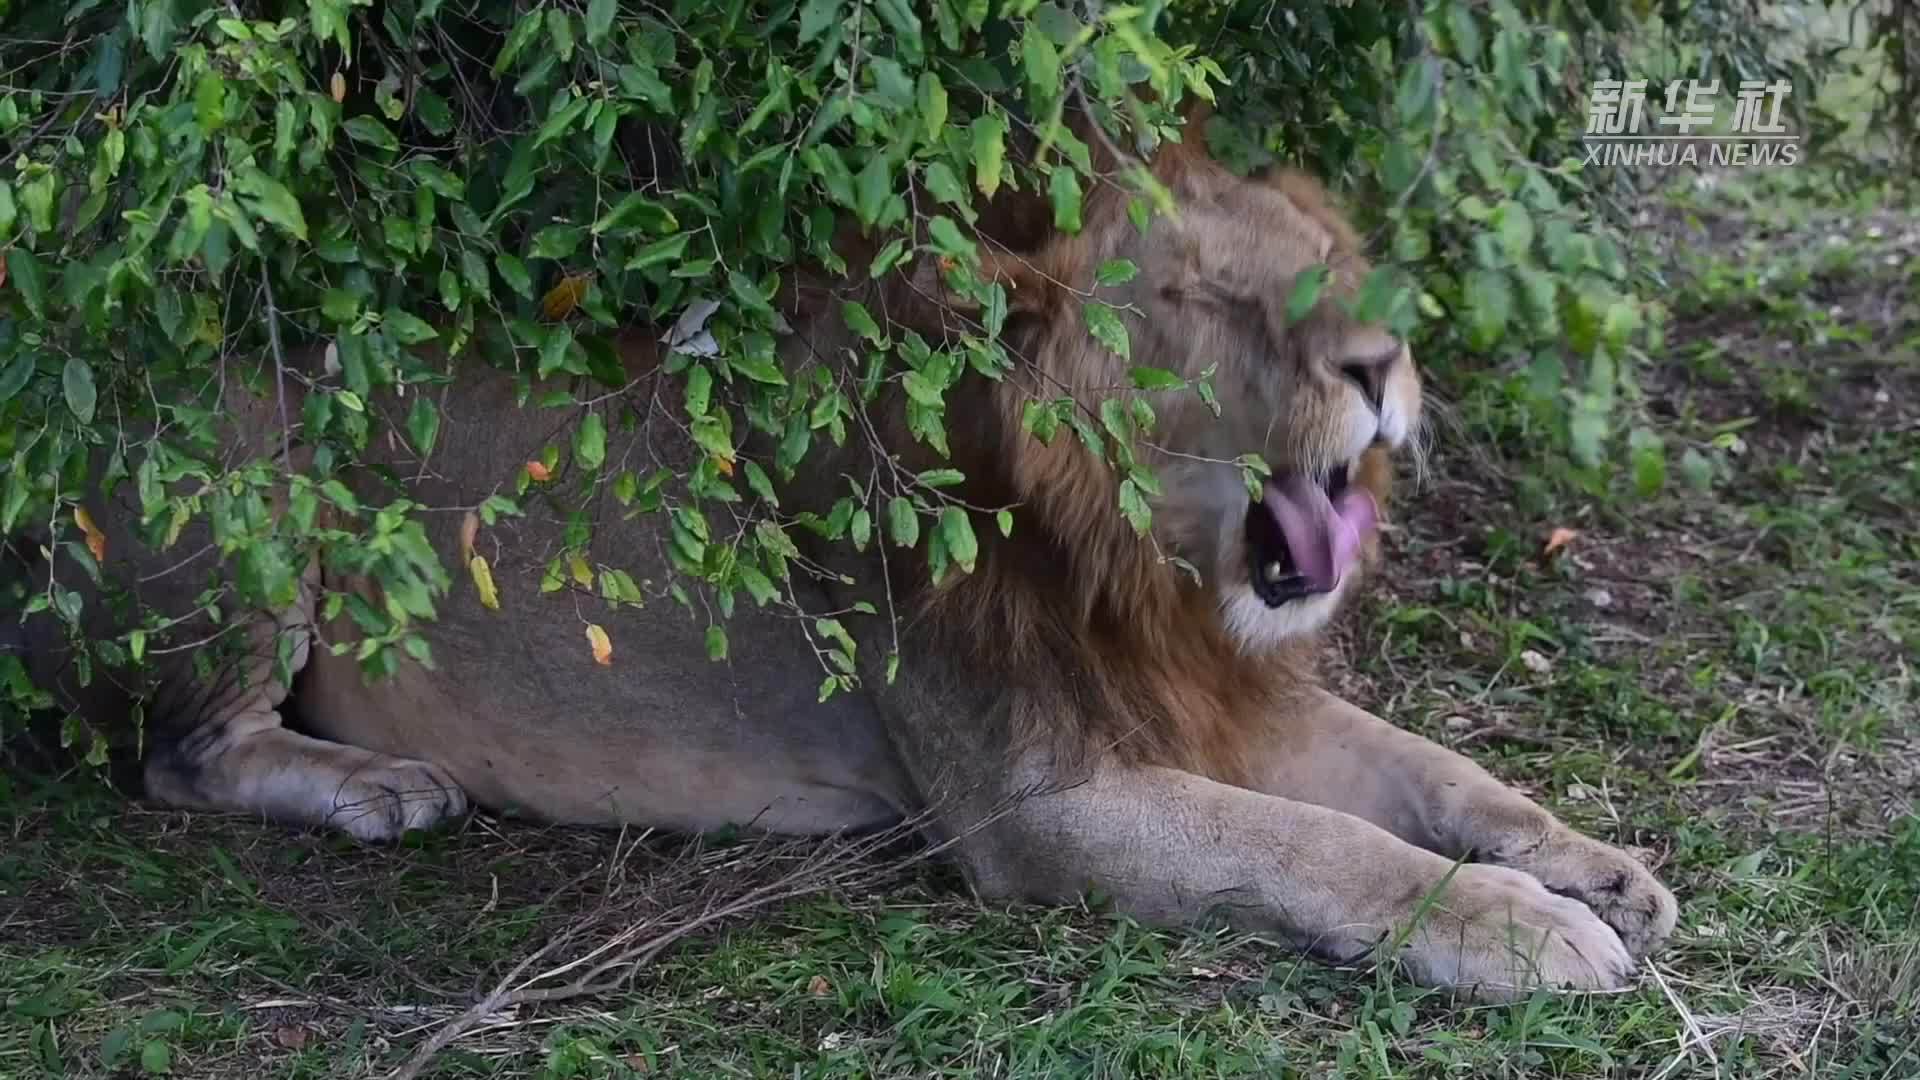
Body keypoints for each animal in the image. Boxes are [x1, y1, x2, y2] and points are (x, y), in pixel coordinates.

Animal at [7, 113, 1674, 999]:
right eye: (1210, 303)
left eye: (1338, 269)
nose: (1383, 367)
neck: (1136, 564)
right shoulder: (1037, 807)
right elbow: (1325, 848)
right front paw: (1529, 931)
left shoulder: (1221, 691)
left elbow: (1433, 772)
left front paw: (1600, 869)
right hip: (248, 470)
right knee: (179, 754)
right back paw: (377, 788)